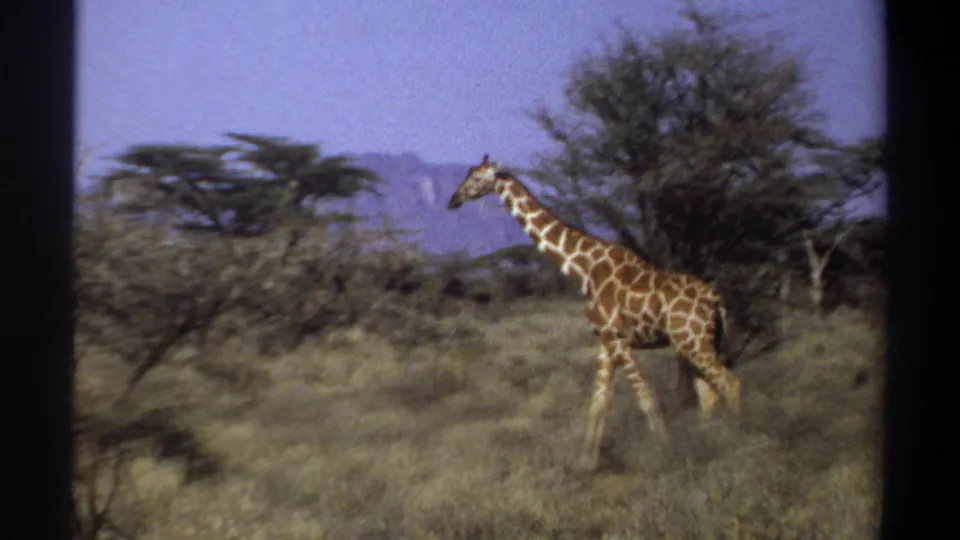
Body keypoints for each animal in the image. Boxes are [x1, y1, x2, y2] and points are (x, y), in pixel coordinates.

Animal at [447, 154, 741, 470]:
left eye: (477, 178)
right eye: (468, 174)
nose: (453, 199)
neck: (584, 270)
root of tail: (715, 298)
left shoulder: (620, 340)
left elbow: (647, 398)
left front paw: (666, 455)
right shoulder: (606, 341)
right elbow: (598, 403)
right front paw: (586, 463)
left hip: (693, 341)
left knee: (730, 384)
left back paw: (738, 438)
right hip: (695, 343)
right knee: (711, 394)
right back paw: (713, 444)